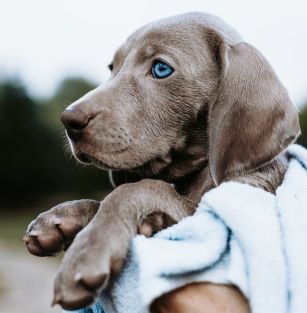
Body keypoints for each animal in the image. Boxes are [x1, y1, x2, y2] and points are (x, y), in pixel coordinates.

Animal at [23, 12, 300, 310]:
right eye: (112, 67)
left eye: (161, 69)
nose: (68, 121)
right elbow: (105, 199)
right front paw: (59, 219)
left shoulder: (207, 211)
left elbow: (136, 189)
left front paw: (87, 253)